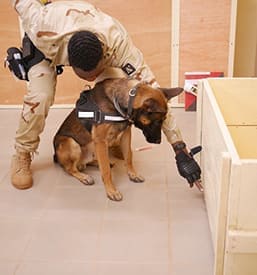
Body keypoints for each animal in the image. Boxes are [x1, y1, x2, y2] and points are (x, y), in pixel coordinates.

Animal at [53, 78, 182, 202]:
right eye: (157, 121)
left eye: (163, 120)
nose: (158, 141)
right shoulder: (100, 140)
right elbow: (105, 171)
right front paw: (111, 191)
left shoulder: (126, 134)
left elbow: (128, 156)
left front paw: (133, 174)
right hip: (71, 142)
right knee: (70, 169)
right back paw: (84, 176)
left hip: (93, 147)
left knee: (89, 162)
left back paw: (95, 163)